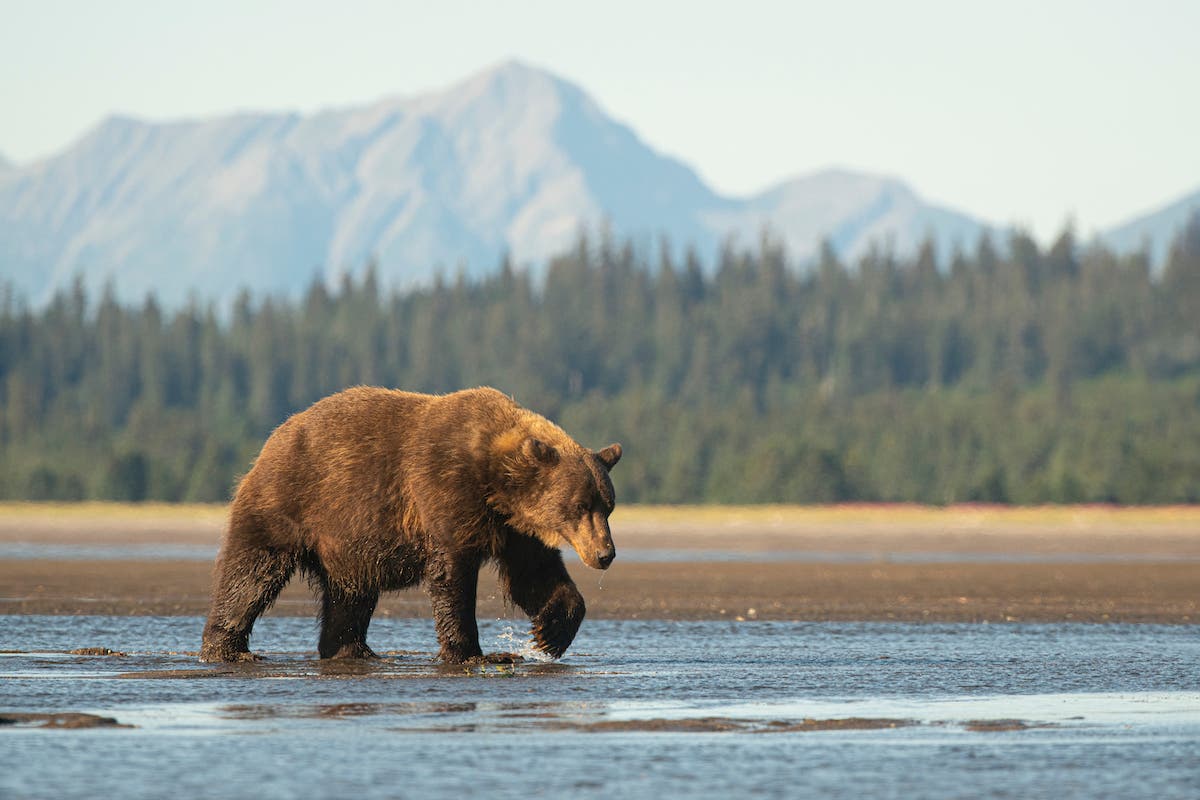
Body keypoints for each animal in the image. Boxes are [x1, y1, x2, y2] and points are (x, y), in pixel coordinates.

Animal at [199, 386, 621, 664]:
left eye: (608, 505)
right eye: (580, 505)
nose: (605, 554)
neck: (495, 481)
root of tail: (276, 436)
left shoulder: (514, 528)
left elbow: (534, 576)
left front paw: (549, 634)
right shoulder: (445, 491)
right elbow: (452, 576)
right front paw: (473, 653)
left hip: (348, 543)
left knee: (350, 595)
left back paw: (352, 649)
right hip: (290, 502)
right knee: (251, 574)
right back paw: (228, 649)